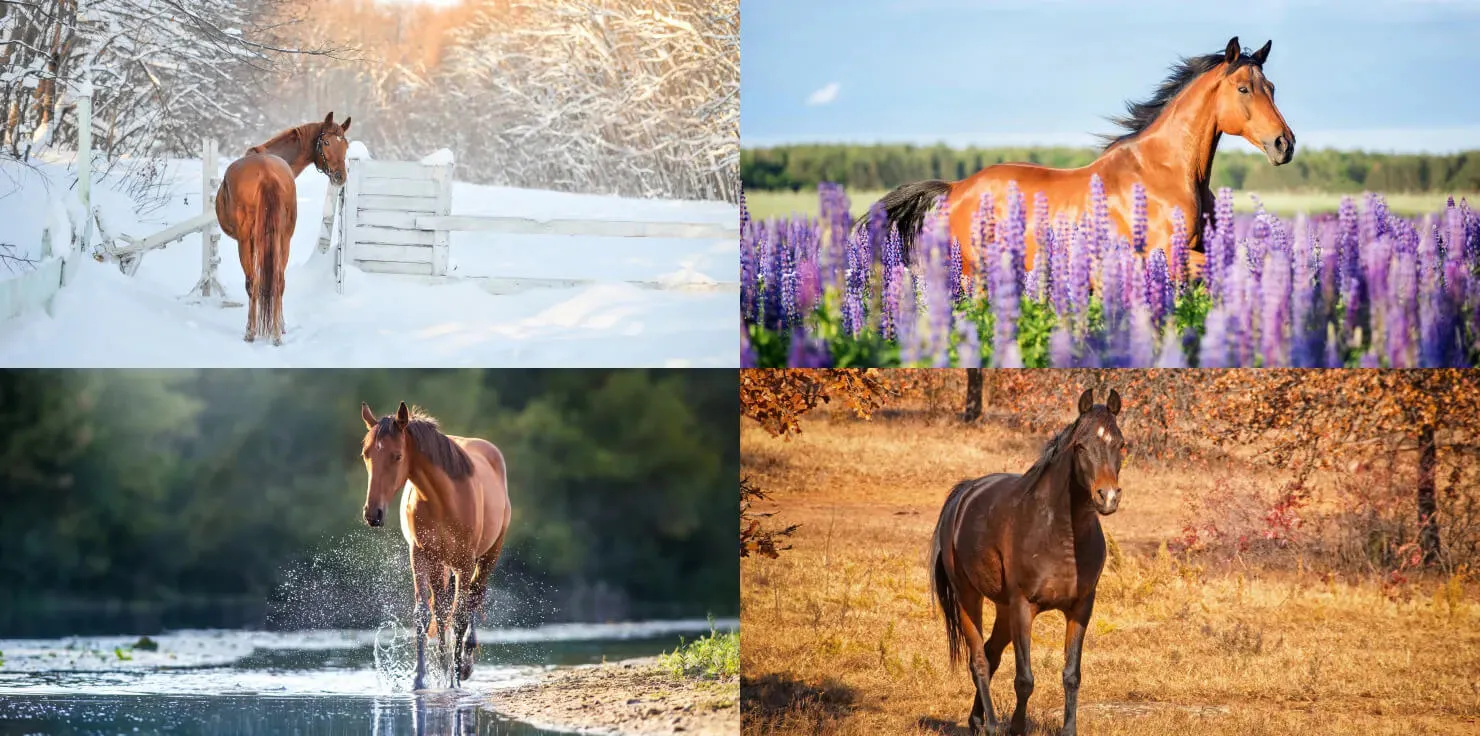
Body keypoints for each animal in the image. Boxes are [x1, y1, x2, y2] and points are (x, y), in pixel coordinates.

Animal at [215, 112, 352, 345]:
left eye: (346, 145)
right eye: (326, 142)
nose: (340, 177)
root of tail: (266, 174)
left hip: (246, 241)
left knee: (253, 282)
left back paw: (251, 332)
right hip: (283, 238)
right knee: (279, 281)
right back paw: (277, 333)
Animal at [360, 401, 512, 690]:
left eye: (397, 456)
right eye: (366, 454)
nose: (373, 513)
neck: (442, 498)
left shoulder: (465, 562)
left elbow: (460, 615)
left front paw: (455, 678)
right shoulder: (419, 555)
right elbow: (425, 614)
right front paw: (420, 678)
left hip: (487, 556)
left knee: (473, 597)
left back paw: (463, 664)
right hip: (440, 564)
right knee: (442, 609)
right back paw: (443, 665)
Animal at [875, 37, 1295, 278]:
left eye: (1272, 87)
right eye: (1243, 89)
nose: (1284, 144)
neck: (1167, 173)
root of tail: (957, 187)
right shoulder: (1167, 256)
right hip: (972, 273)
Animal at [930, 388, 1126, 736]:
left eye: (1121, 443)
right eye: (1081, 445)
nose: (1108, 497)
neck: (1060, 534)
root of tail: (964, 493)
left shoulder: (1080, 608)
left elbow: (1071, 675)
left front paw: (1069, 730)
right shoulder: (1024, 607)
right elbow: (1024, 679)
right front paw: (1017, 728)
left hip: (1003, 609)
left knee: (991, 654)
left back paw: (977, 721)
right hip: (970, 597)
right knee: (979, 660)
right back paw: (992, 725)